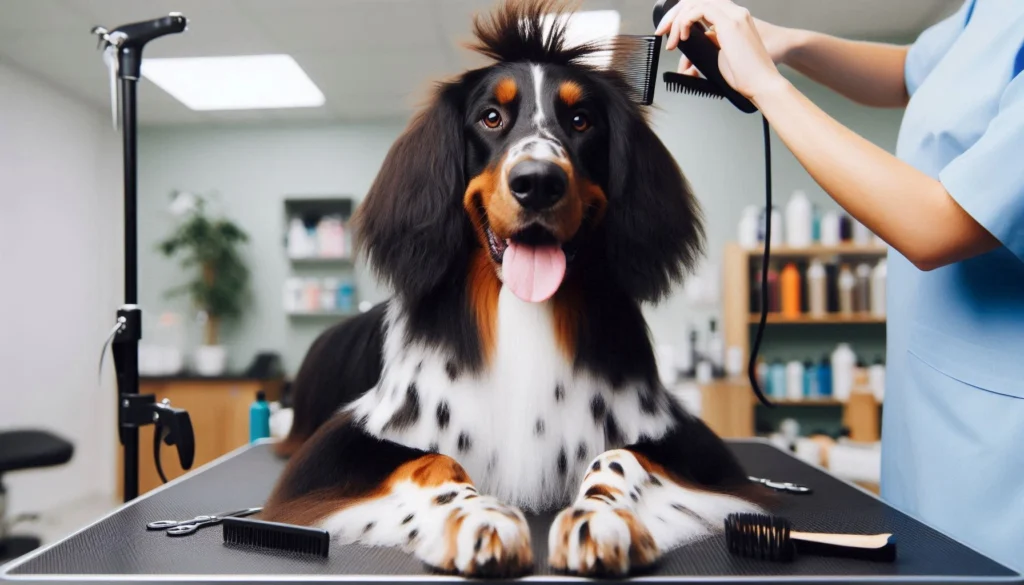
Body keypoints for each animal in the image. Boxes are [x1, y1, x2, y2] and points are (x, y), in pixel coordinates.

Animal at [262, 0, 770, 577]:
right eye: (491, 117)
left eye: (580, 120)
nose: (538, 182)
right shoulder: (338, 450)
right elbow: (433, 460)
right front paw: (475, 520)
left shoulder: (690, 444)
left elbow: (621, 455)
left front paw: (602, 518)